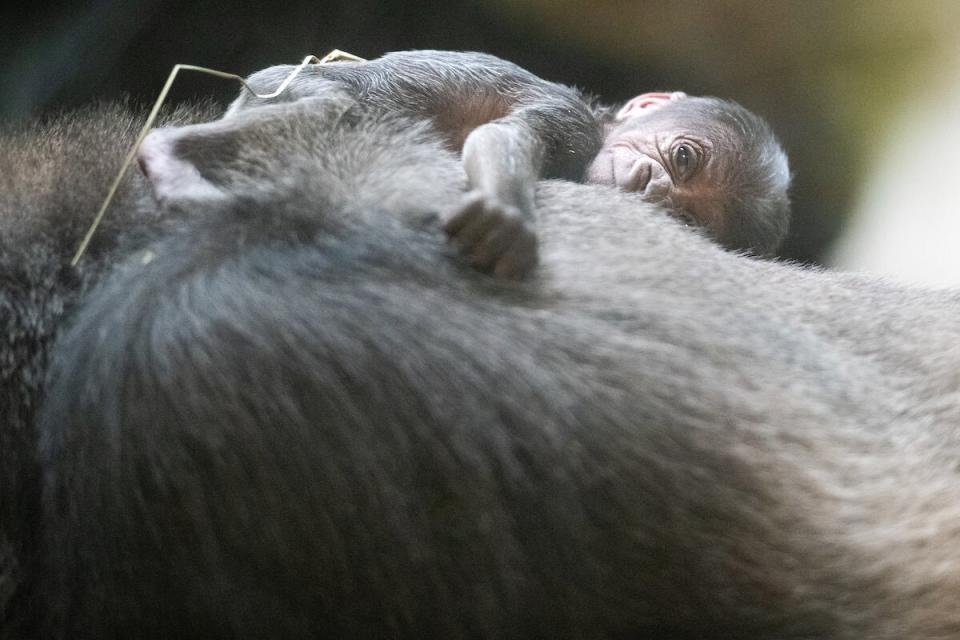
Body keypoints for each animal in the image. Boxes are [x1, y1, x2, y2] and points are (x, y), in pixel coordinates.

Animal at [191, 51, 792, 276]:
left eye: (687, 220)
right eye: (683, 157)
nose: (657, 188)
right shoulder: (570, 121)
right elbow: (503, 136)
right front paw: (505, 218)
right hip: (282, 86)